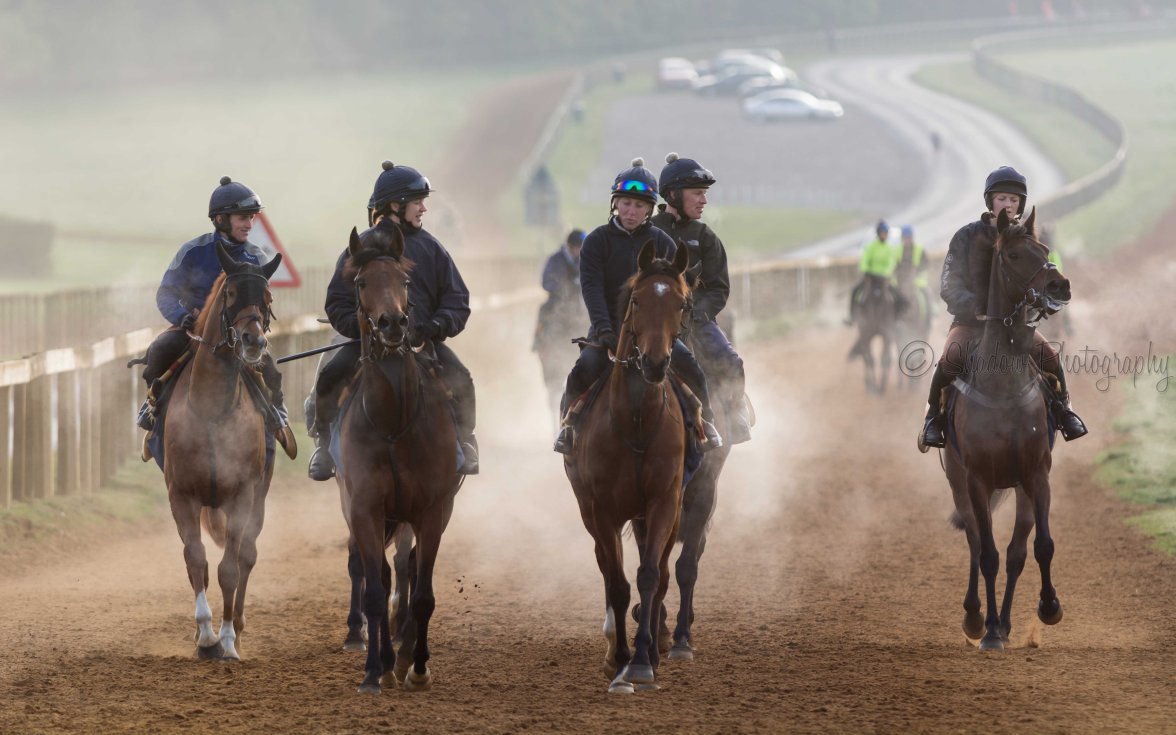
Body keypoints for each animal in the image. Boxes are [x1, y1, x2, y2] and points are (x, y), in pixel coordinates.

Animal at [162, 243, 283, 661]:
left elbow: (230, 567)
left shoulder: (242, 495)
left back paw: (239, 628)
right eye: (230, 294)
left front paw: (228, 640)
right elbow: (194, 559)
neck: (212, 410)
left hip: (260, 497)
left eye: (267, 298)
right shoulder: (182, 495)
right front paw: (205, 635)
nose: (253, 341)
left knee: (247, 555)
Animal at [335, 225, 462, 694]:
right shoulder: (365, 509)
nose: (393, 323)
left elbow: (422, 593)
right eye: (360, 282)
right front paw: (376, 669)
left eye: (405, 281)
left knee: (406, 571)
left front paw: (418, 664)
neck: (394, 422)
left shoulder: (432, 511)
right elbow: (375, 590)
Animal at [565, 240, 690, 694]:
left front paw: (640, 663)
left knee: (661, 574)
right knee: (607, 566)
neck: (635, 420)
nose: (654, 363)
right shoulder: (601, 509)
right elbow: (617, 583)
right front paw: (619, 661)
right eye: (637, 300)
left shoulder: (664, 502)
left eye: (682, 303)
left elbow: (650, 576)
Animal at [942, 207, 1071, 651]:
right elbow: (987, 555)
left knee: (1016, 552)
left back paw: (1007, 623)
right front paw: (988, 629)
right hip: (959, 482)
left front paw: (1049, 607)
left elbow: (1041, 547)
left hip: (1020, 488)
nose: (1059, 285)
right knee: (975, 543)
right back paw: (978, 619)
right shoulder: (978, 479)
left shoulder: (1036, 474)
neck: (1003, 387)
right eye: (1013, 255)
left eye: (1045, 249)